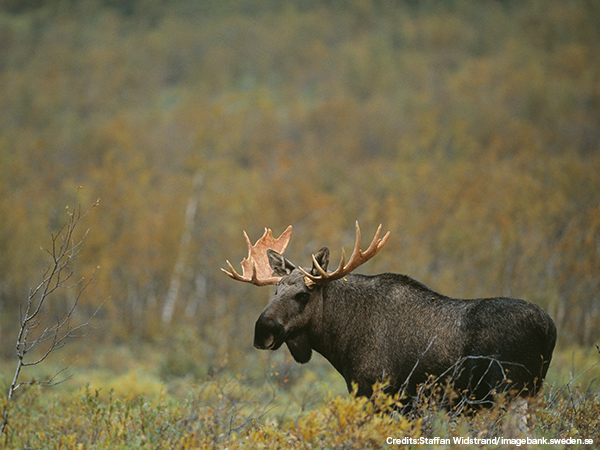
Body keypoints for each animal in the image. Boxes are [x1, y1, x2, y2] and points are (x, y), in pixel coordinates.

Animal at [223, 221, 556, 412]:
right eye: (275, 291)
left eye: (303, 295)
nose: (262, 330)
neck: (339, 341)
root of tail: (550, 328)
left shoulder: (376, 391)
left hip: (508, 391)